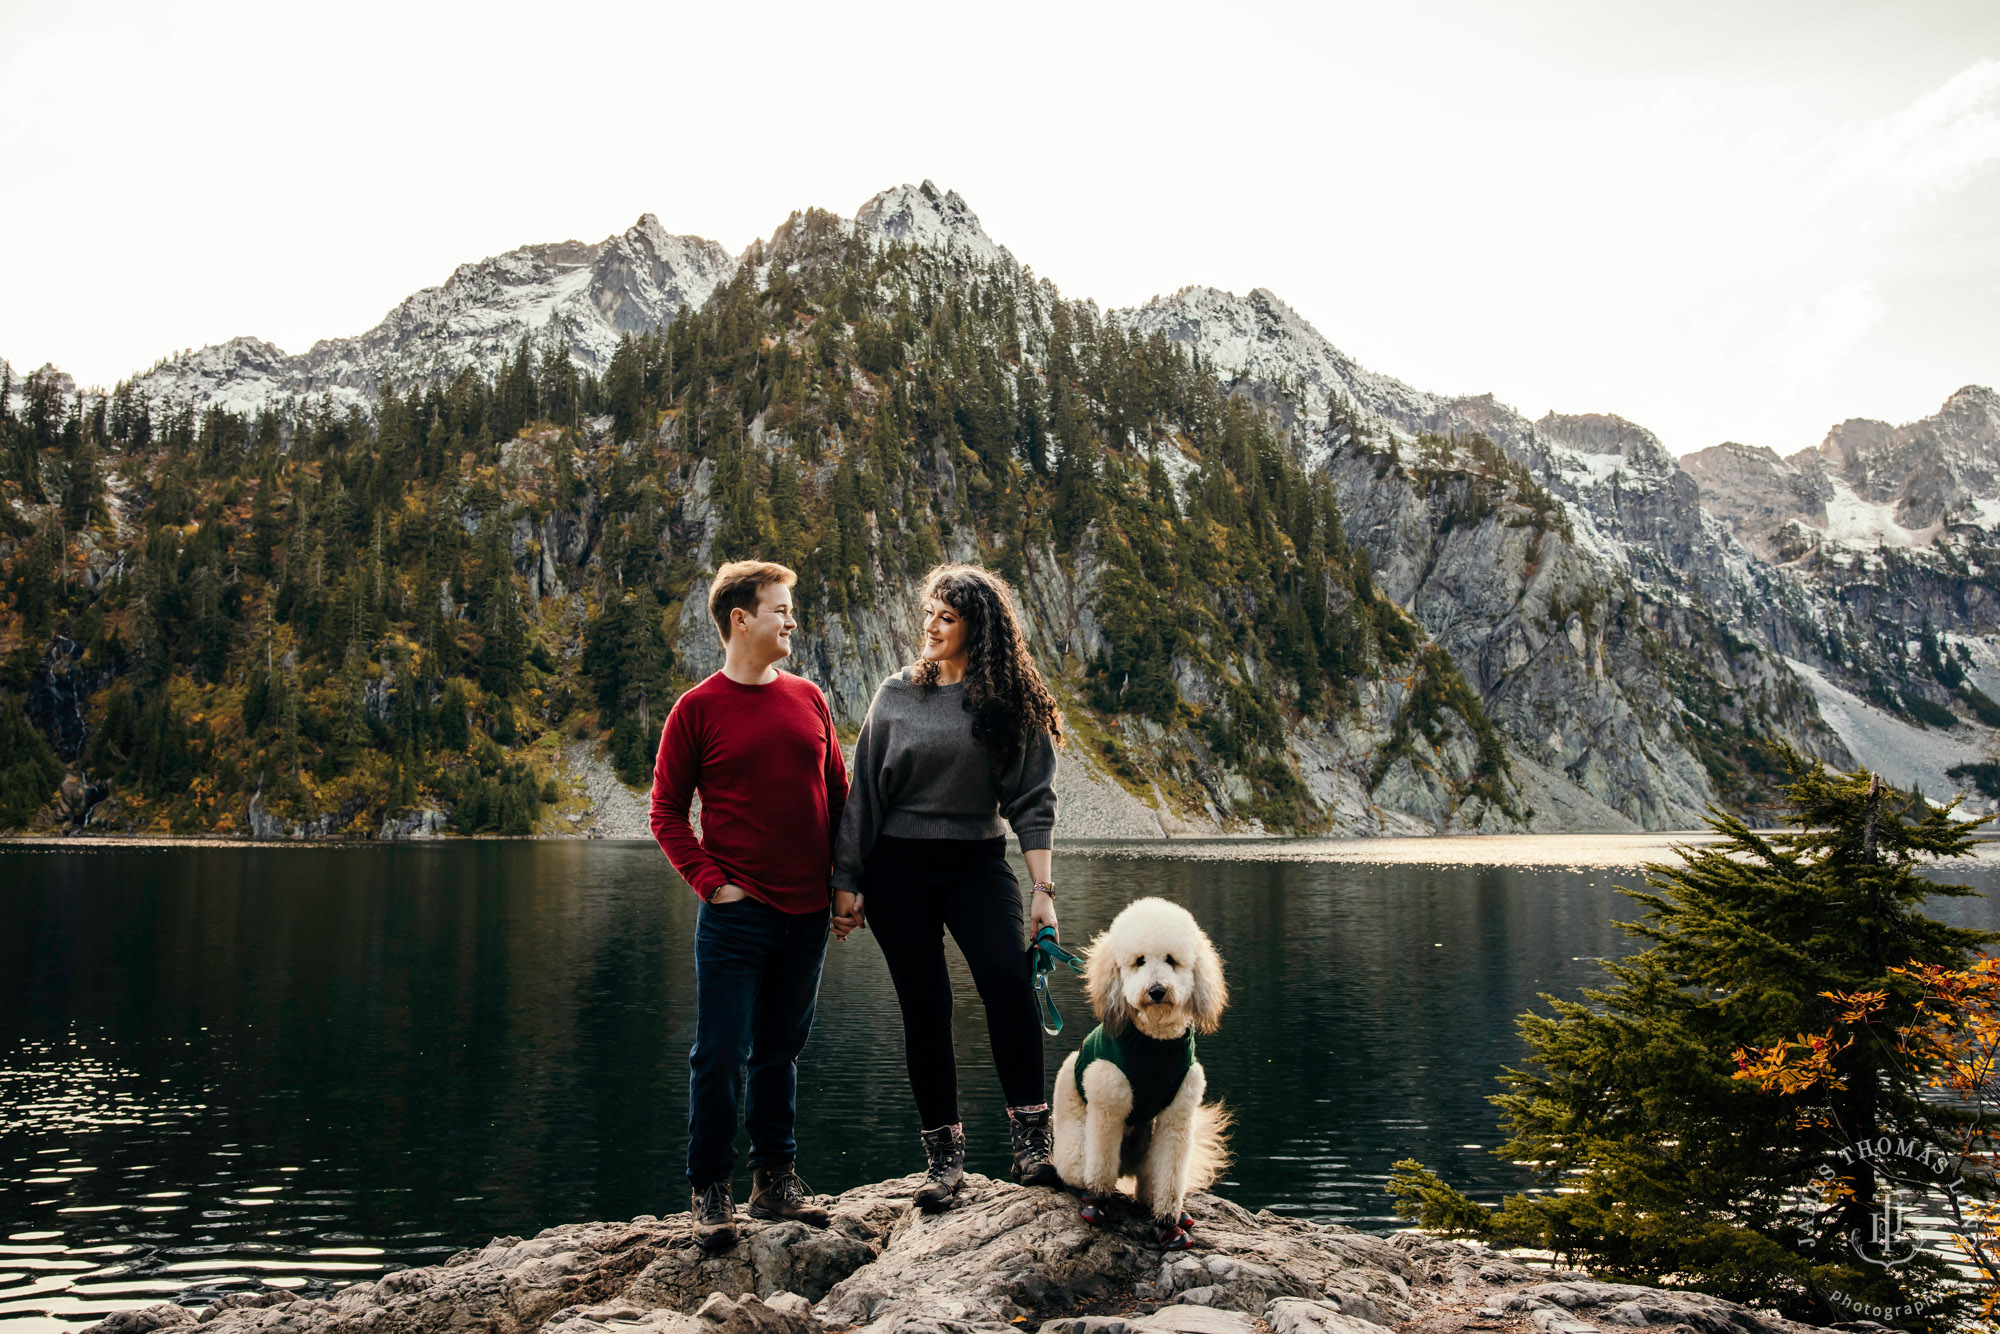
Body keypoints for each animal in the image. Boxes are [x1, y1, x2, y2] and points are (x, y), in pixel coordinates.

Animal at [1056, 896, 1224, 1256]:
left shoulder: (1177, 1118)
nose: (1157, 991)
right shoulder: (1108, 1108)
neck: (1154, 1041)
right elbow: (1101, 1164)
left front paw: (1168, 1224)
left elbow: (1170, 1177)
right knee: (1081, 1172)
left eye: (1172, 960)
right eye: (1138, 961)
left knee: (1149, 1180)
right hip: (1075, 1149)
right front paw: (1098, 1203)